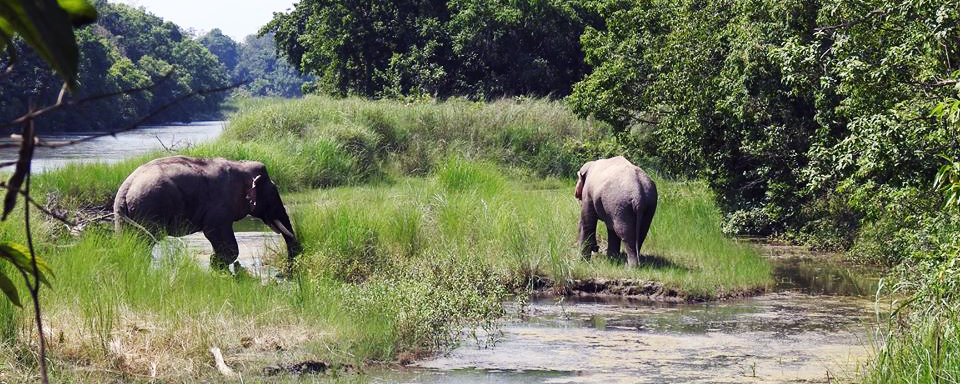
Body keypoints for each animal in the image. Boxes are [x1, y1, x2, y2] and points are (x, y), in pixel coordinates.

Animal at [114, 156, 300, 270]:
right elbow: (214, 232)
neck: (240, 165)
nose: (292, 260)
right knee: (143, 243)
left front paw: (215, 262)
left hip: (125, 217)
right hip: (150, 209)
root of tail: (126, 187)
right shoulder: (220, 204)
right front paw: (216, 262)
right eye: (273, 195)